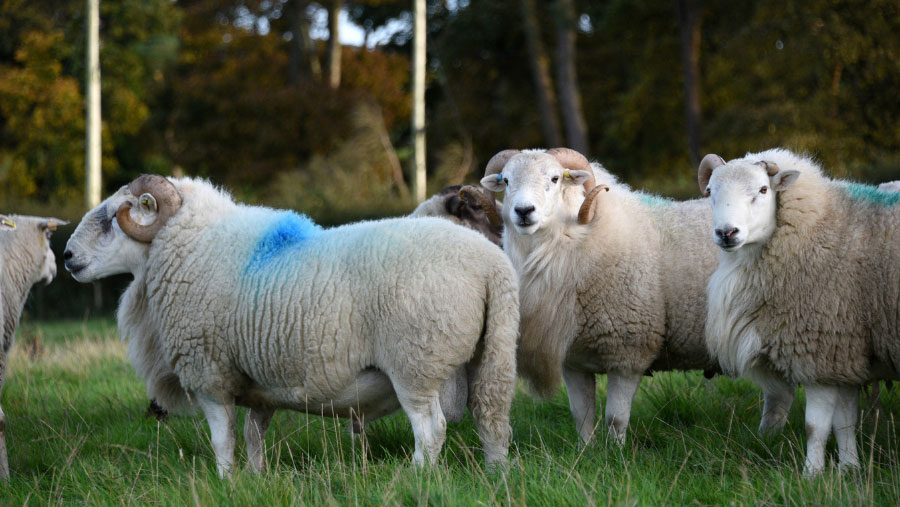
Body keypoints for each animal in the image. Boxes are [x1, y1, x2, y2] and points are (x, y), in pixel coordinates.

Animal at [63, 175, 520, 476]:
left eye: (111, 216)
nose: (67, 256)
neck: (186, 246)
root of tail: (491, 265)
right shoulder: (260, 385)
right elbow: (253, 436)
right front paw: (256, 478)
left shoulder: (210, 375)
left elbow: (222, 439)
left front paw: (226, 481)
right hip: (490, 356)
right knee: (492, 419)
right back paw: (495, 473)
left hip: (417, 363)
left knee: (430, 430)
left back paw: (416, 476)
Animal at [478, 149, 796, 446]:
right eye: (506, 181)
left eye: (555, 179)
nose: (523, 211)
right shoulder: (574, 360)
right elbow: (581, 414)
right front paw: (585, 452)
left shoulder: (629, 351)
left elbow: (615, 418)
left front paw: (615, 454)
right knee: (780, 395)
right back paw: (767, 439)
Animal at [700, 147, 900, 476]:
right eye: (710, 192)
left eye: (763, 190)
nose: (726, 232)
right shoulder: (844, 353)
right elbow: (845, 421)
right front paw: (850, 469)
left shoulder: (820, 351)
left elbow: (815, 426)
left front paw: (811, 475)